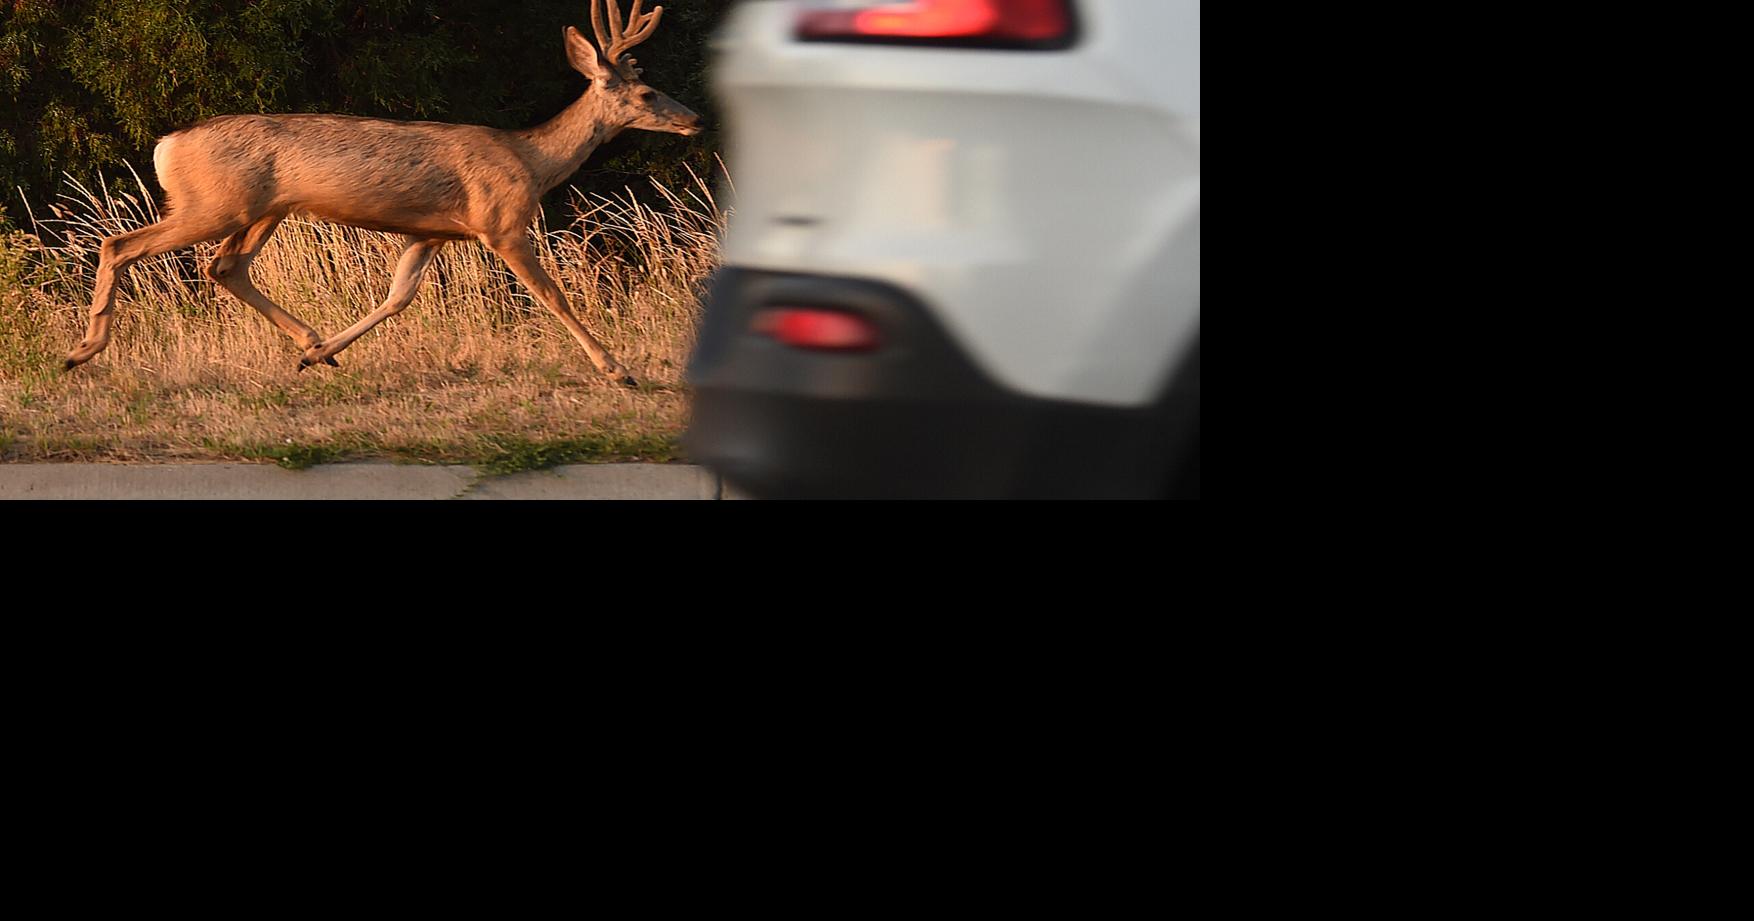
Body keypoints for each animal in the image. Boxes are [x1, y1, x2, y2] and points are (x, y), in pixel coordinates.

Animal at [62, 0, 702, 385]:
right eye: (646, 94)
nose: (694, 119)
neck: (533, 161)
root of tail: (166, 144)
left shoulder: (433, 232)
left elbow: (399, 296)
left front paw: (320, 352)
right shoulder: (501, 222)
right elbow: (554, 296)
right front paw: (618, 369)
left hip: (261, 210)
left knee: (225, 268)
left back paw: (315, 345)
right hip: (215, 203)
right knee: (120, 244)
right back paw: (82, 351)